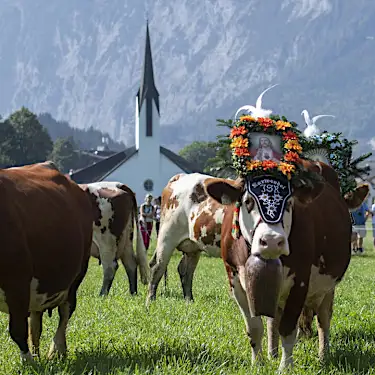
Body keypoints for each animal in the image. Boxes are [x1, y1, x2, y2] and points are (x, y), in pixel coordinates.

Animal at [0, 163, 93, 362]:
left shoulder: (17, 283)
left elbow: (17, 330)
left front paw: (28, 362)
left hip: (76, 276)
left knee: (65, 313)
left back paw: (56, 350)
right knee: (36, 323)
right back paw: (38, 353)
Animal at [148, 86, 370, 372]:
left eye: (290, 203)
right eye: (248, 201)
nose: (272, 241)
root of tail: (178, 178)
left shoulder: (301, 282)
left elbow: (288, 328)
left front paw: (284, 366)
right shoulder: (236, 281)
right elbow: (254, 326)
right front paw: (258, 362)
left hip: (192, 247)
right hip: (166, 236)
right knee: (158, 267)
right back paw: (150, 301)